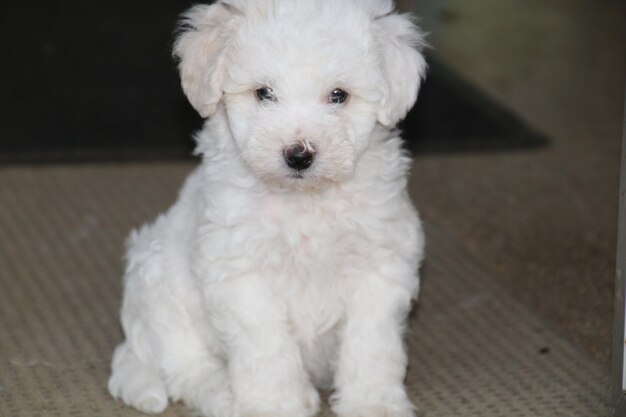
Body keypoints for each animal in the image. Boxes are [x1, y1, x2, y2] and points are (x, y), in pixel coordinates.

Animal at [109, 0, 426, 416]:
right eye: (264, 93)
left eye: (338, 95)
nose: (299, 155)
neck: (304, 200)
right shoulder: (242, 277)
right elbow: (266, 350)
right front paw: (275, 404)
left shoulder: (380, 267)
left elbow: (371, 345)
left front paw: (372, 403)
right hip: (159, 287)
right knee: (187, 367)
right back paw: (224, 396)